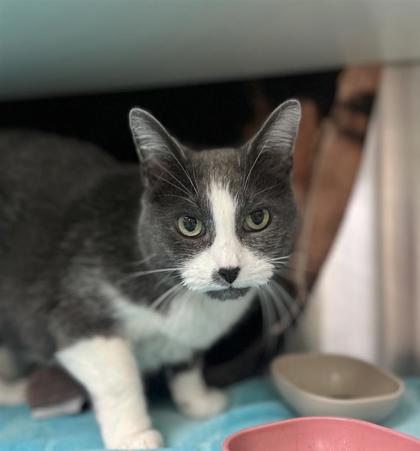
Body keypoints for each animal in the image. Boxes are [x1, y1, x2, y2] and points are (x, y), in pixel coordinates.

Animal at [0, 99, 300, 449]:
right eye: (189, 224)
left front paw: (197, 402)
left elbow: (187, 362)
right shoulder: (78, 307)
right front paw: (134, 435)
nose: (228, 270)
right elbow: (118, 376)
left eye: (258, 218)